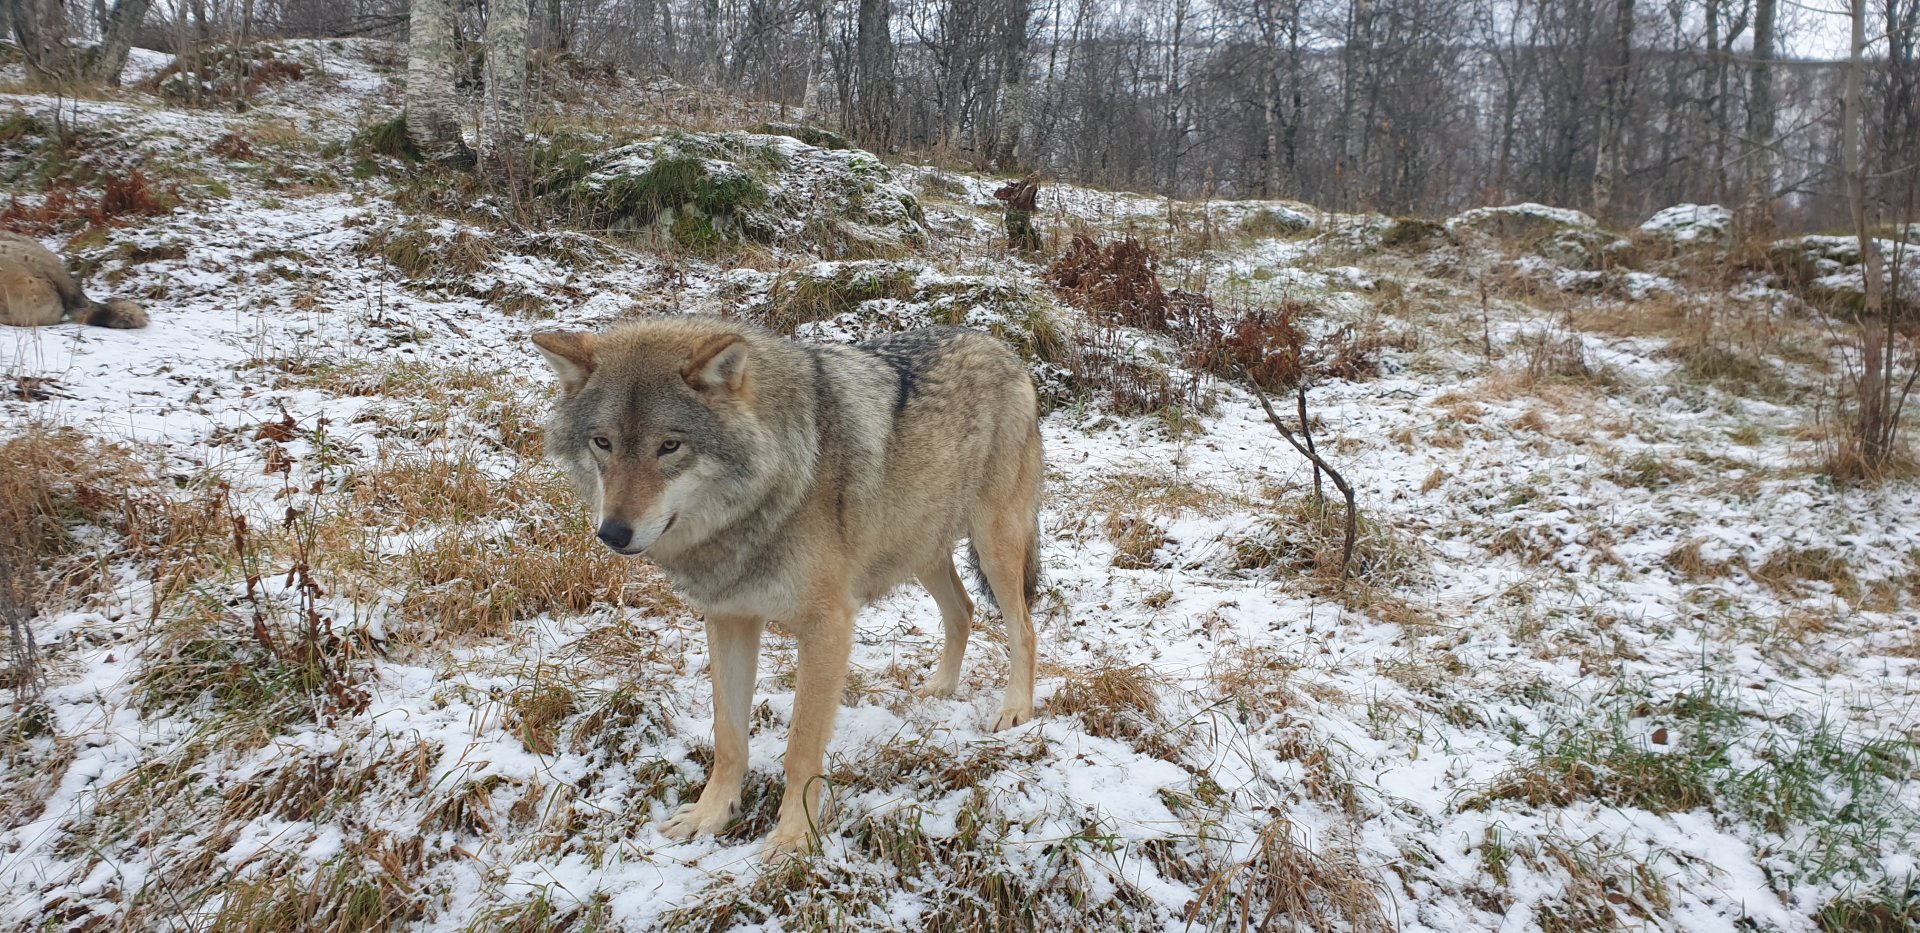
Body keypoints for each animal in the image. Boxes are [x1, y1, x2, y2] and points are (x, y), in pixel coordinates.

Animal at [533, 315, 1044, 857]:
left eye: (670, 445)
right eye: (602, 443)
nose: (612, 533)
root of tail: (999, 346)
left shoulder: (828, 626)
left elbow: (801, 747)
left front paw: (796, 838)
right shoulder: (729, 618)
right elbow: (729, 738)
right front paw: (711, 815)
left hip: (994, 548)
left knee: (1024, 629)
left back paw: (1014, 710)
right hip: (920, 549)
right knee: (963, 610)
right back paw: (940, 687)